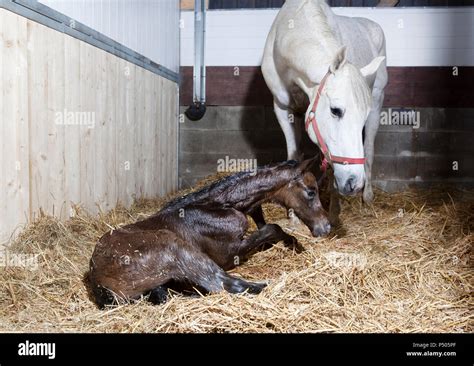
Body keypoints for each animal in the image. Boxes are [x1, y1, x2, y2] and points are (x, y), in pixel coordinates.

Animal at [262, 0, 386, 223]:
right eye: (335, 110)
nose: (354, 182)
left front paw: (334, 213)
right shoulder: (283, 109)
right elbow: (295, 157)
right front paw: (294, 215)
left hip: (378, 99)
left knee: (369, 149)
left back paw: (368, 197)